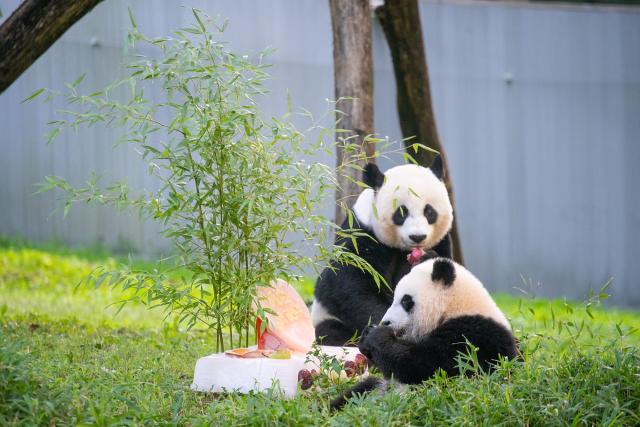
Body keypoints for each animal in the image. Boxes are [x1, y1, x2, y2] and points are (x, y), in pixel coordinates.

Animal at [312, 157, 452, 348]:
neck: (402, 248)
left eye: (429, 211)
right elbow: (349, 286)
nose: (417, 237)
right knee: (332, 330)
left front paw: (424, 259)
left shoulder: (442, 241)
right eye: (401, 212)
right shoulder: (361, 234)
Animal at [328, 258, 516, 412]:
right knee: (358, 392)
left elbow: (428, 367)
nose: (385, 322)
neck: (456, 307)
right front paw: (368, 334)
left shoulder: (473, 337)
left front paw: (375, 335)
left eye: (405, 300)